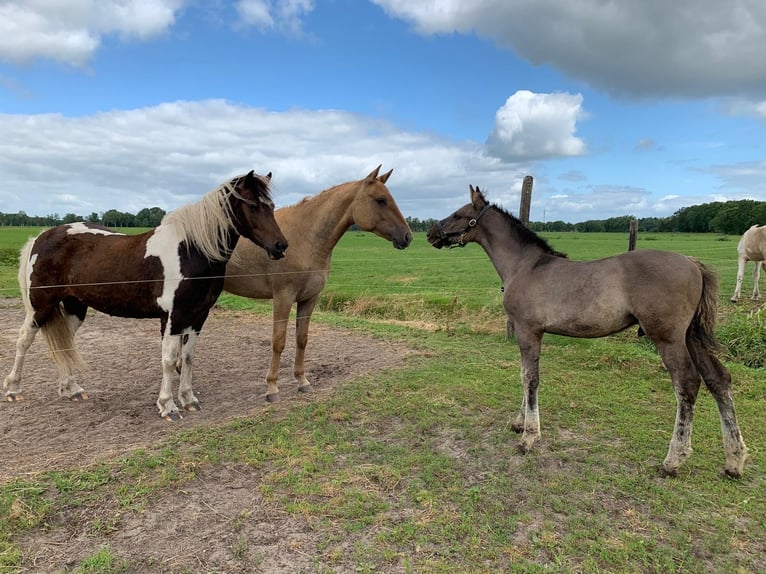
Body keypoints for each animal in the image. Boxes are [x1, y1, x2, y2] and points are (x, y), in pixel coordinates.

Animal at [3, 171, 288, 421]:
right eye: (252, 205)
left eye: (271, 205)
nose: (281, 246)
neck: (191, 251)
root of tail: (42, 237)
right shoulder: (172, 318)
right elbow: (169, 360)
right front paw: (168, 406)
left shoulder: (198, 316)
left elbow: (188, 358)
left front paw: (189, 400)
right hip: (40, 306)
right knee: (24, 340)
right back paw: (13, 389)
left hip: (75, 308)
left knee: (65, 344)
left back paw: (71, 390)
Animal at [222, 165, 412, 402]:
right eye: (380, 200)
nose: (407, 237)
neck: (306, 237)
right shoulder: (283, 297)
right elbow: (278, 341)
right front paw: (272, 387)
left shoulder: (309, 299)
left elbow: (301, 339)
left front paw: (302, 381)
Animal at [426, 185, 748, 478]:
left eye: (458, 214)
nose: (430, 233)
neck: (526, 267)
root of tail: (692, 263)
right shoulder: (530, 333)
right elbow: (524, 375)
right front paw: (519, 423)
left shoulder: (528, 330)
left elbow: (530, 378)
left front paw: (529, 436)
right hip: (690, 336)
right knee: (719, 380)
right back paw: (734, 461)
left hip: (668, 338)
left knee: (687, 384)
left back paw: (673, 460)